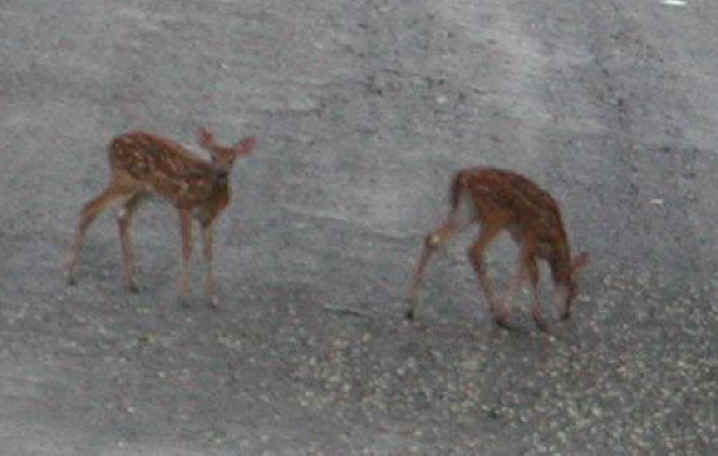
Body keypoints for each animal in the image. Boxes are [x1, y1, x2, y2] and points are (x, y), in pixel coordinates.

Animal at [65, 128, 256, 308]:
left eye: (232, 159)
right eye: (213, 156)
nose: (221, 173)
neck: (210, 194)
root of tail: (113, 143)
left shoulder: (207, 218)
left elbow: (209, 253)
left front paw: (213, 299)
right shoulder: (184, 203)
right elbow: (187, 247)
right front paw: (184, 298)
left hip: (143, 189)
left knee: (123, 215)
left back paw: (132, 283)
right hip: (125, 179)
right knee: (90, 208)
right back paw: (71, 275)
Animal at [407, 167, 589, 332]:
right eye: (573, 289)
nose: (566, 315)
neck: (553, 246)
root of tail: (462, 177)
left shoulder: (520, 239)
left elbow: (531, 272)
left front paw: (538, 319)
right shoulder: (530, 234)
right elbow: (525, 273)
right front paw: (510, 315)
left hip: (468, 210)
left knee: (433, 238)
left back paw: (411, 308)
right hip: (497, 214)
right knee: (475, 250)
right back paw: (497, 312)